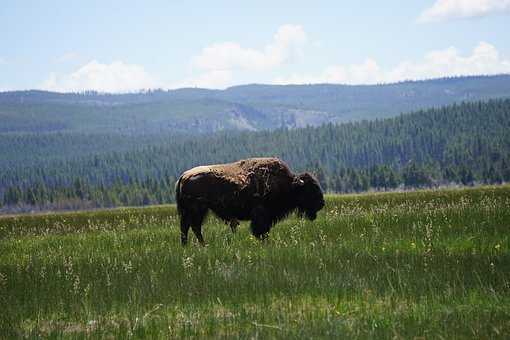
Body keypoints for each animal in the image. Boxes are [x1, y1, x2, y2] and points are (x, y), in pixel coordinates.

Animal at [174, 158, 322, 246]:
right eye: (310, 188)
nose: (321, 203)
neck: (288, 184)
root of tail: (184, 176)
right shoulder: (261, 215)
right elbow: (261, 230)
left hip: (190, 212)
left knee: (186, 227)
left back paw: (187, 245)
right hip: (197, 210)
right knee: (194, 227)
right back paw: (202, 245)